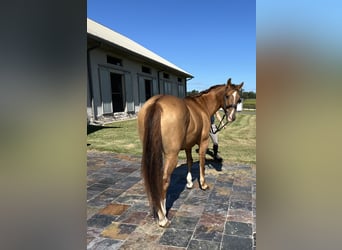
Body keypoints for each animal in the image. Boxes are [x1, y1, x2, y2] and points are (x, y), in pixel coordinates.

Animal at [137, 77, 243, 227]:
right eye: (227, 96)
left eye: (239, 99)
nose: (231, 117)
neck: (201, 106)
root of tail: (157, 103)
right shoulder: (203, 142)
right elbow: (201, 162)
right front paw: (203, 184)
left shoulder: (188, 145)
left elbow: (189, 161)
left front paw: (189, 183)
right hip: (171, 155)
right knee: (164, 180)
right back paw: (163, 217)